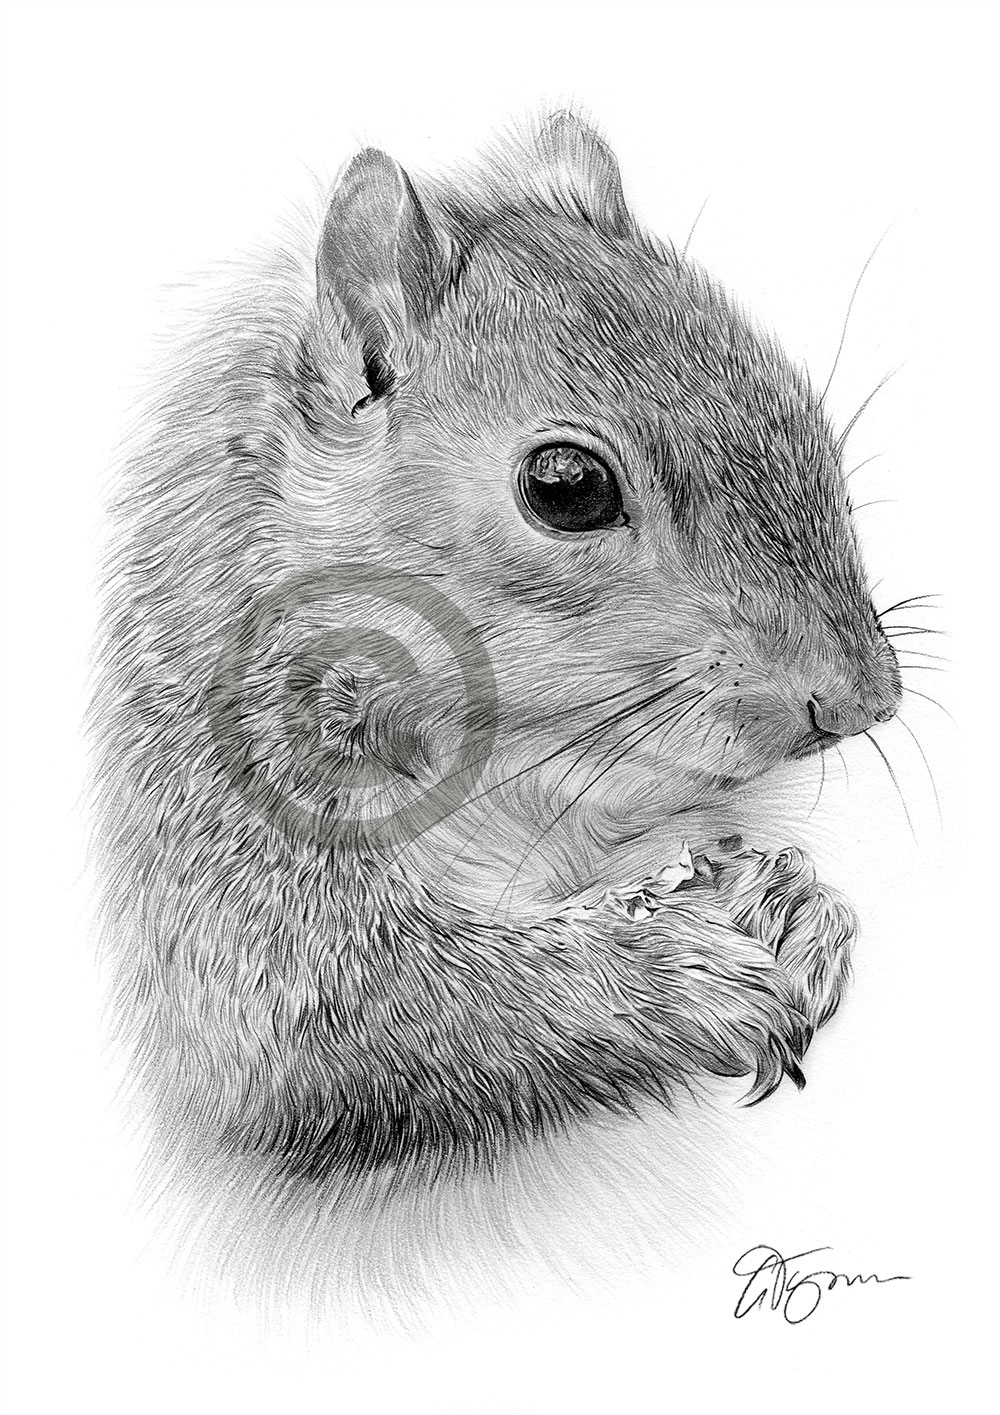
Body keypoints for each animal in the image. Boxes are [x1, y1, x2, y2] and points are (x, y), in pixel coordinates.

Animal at [91, 111, 901, 1192]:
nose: (862, 700)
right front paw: (667, 972)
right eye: (565, 486)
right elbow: (338, 1019)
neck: (506, 766)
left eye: (800, 408)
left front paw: (788, 904)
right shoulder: (224, 824)